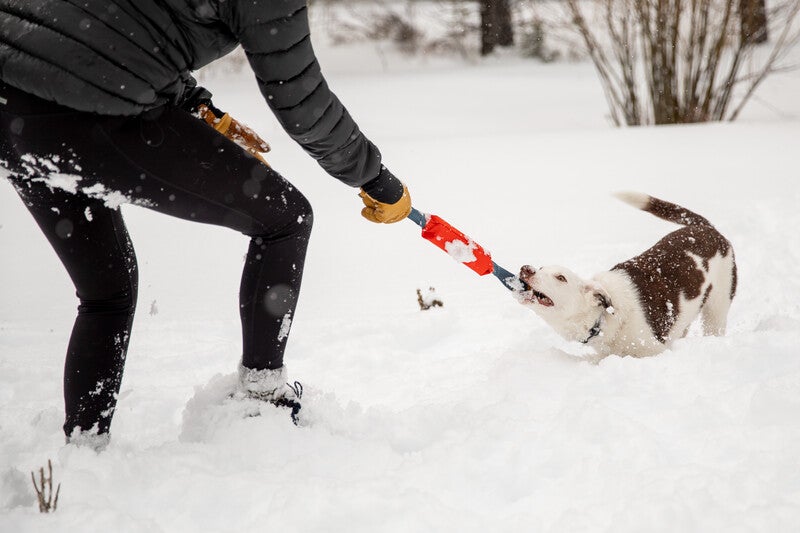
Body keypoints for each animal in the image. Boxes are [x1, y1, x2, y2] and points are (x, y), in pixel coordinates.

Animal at [520, 192, 736, 358]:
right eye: (541, 268)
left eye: (561, 278)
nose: (526, 269)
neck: (605, 317)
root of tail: (707, 228)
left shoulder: (653, 351)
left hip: (716, 309)